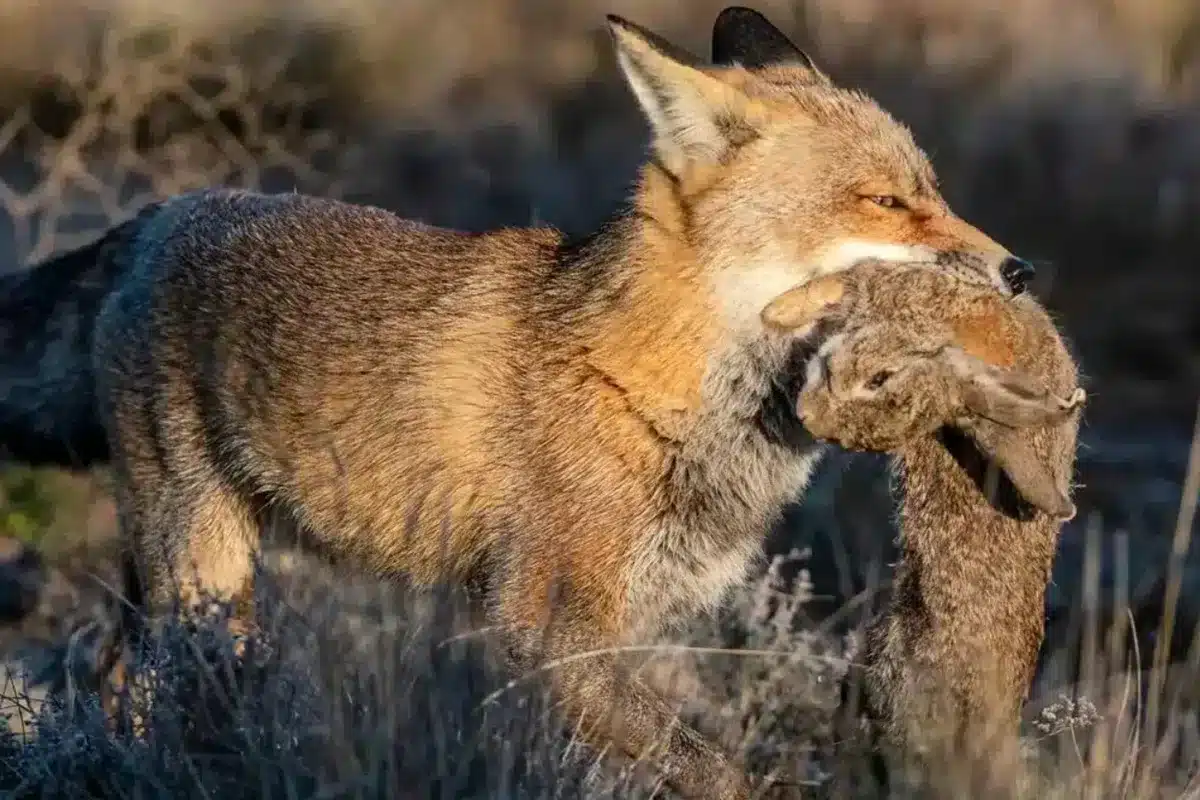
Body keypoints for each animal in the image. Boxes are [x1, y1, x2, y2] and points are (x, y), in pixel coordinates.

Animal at [0, 7, 1039, 799]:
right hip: (204, 580)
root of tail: (162, 217)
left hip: (166, 584)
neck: (650, 380)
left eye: (932, 191)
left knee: (109, 682)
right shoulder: (545, 622)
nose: (1019, 271)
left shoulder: (618, 631)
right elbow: (720, 771)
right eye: (885, 202)